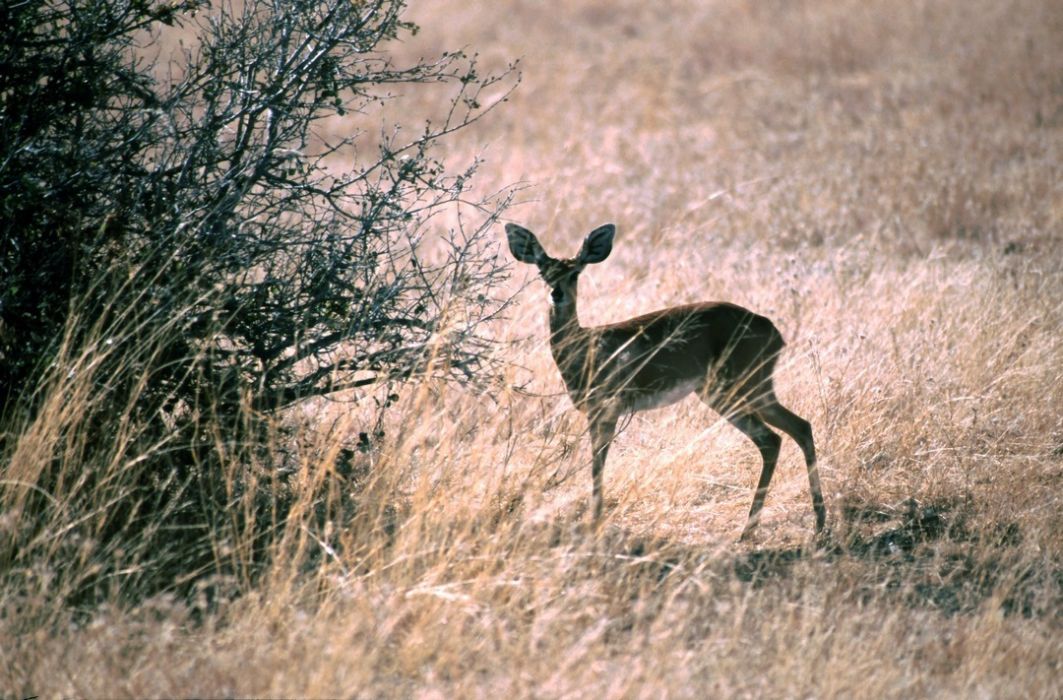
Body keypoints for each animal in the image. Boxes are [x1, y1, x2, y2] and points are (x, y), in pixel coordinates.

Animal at [508, 222, 829, 539]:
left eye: (575, 273)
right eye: (542, 272)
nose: (556, 294)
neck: (584, 347)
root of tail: (773, 331)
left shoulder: (606, 411)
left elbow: (598, 463)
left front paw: (594, 523)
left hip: (736, 390)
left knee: (773, 438)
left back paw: (753, 530)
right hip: (744, 392)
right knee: (797, 428)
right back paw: (814, 523)